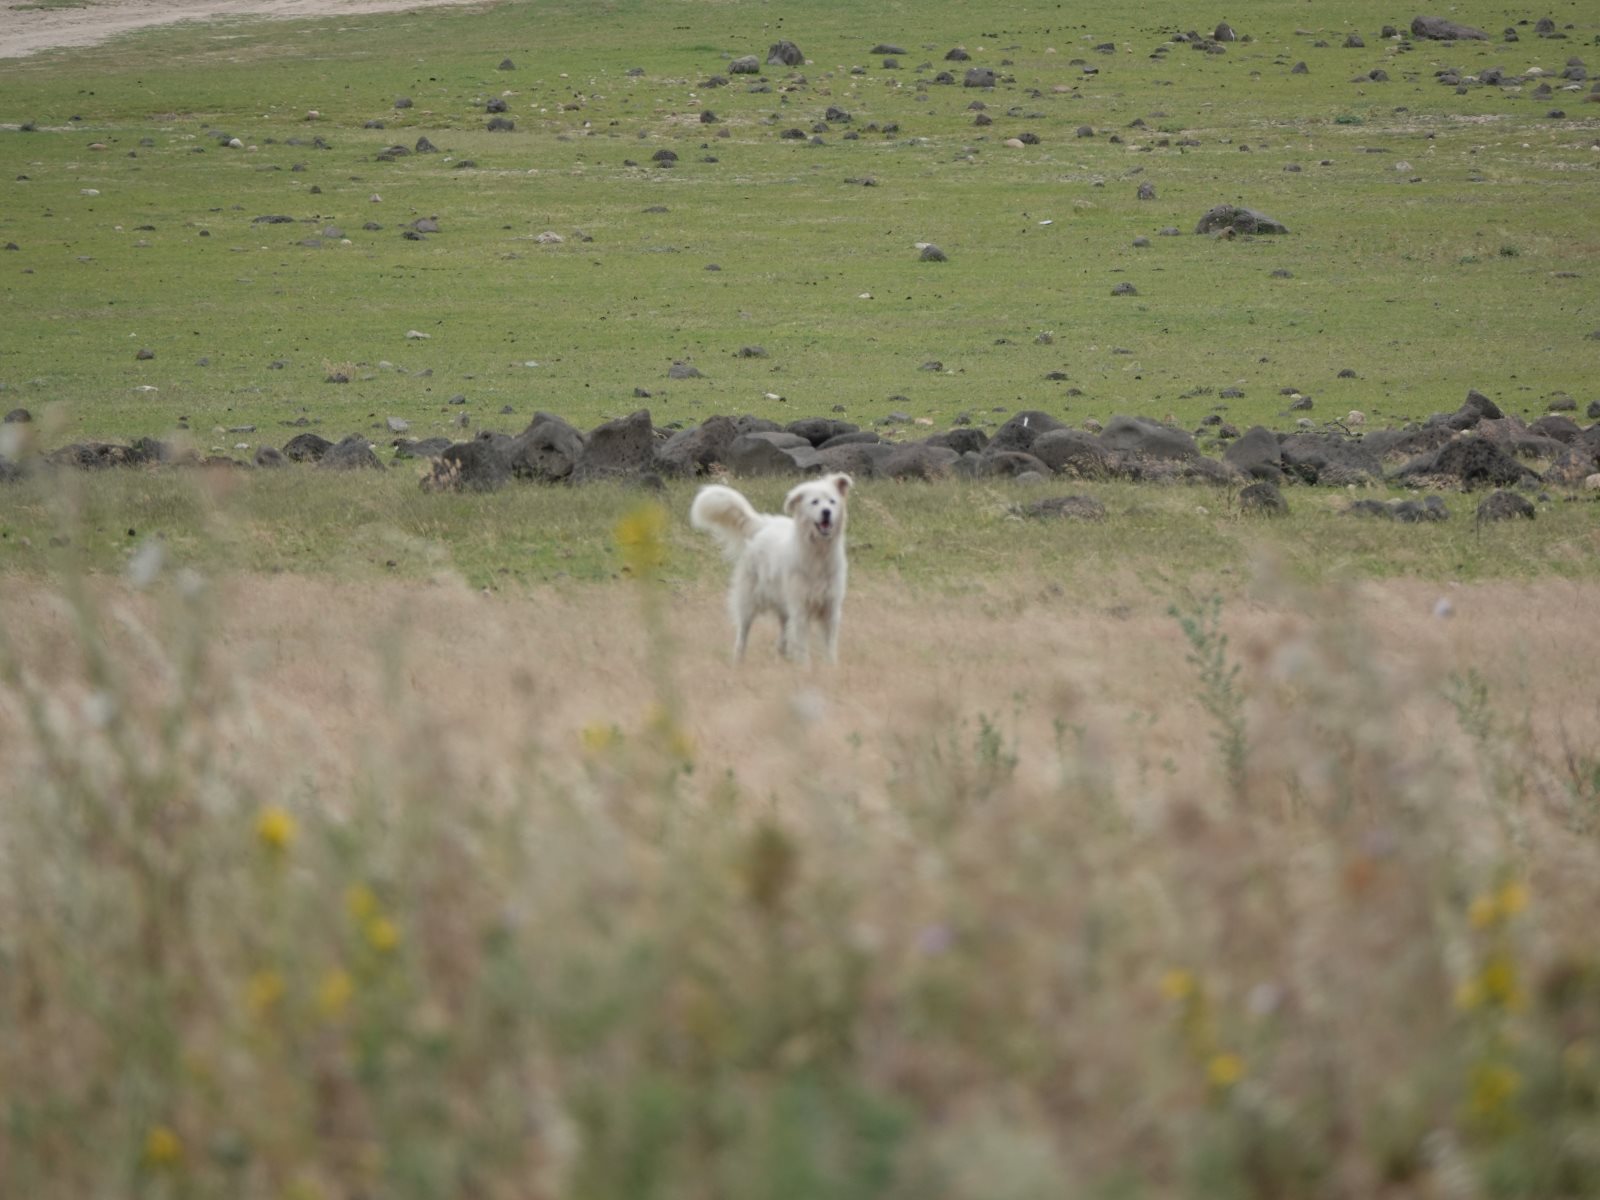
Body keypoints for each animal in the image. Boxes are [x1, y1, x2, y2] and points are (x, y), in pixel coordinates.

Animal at [694, 473, 857, 668]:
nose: (826, 512)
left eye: (832, 501)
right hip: (749, 599)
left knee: (783, 630)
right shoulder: (800, 608)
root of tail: (763, 526)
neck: (819, 554)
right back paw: (738, 660)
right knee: (743, 631)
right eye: (814, 502)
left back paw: (782, 654)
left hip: (782, 601)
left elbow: (829, 646)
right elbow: (802, 645)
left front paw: (831, 668)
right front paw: (805, 669)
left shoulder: (831, 608)